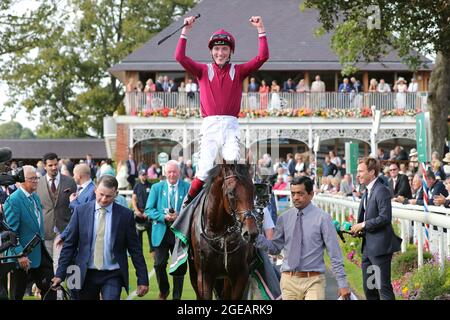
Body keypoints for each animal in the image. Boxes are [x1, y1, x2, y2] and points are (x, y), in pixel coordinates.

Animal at [188, 164, 258, 298]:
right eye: (231, 193)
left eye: (253, 190)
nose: (251, 232)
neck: (220, 233)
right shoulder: (204, 276)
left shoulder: (240, 274)